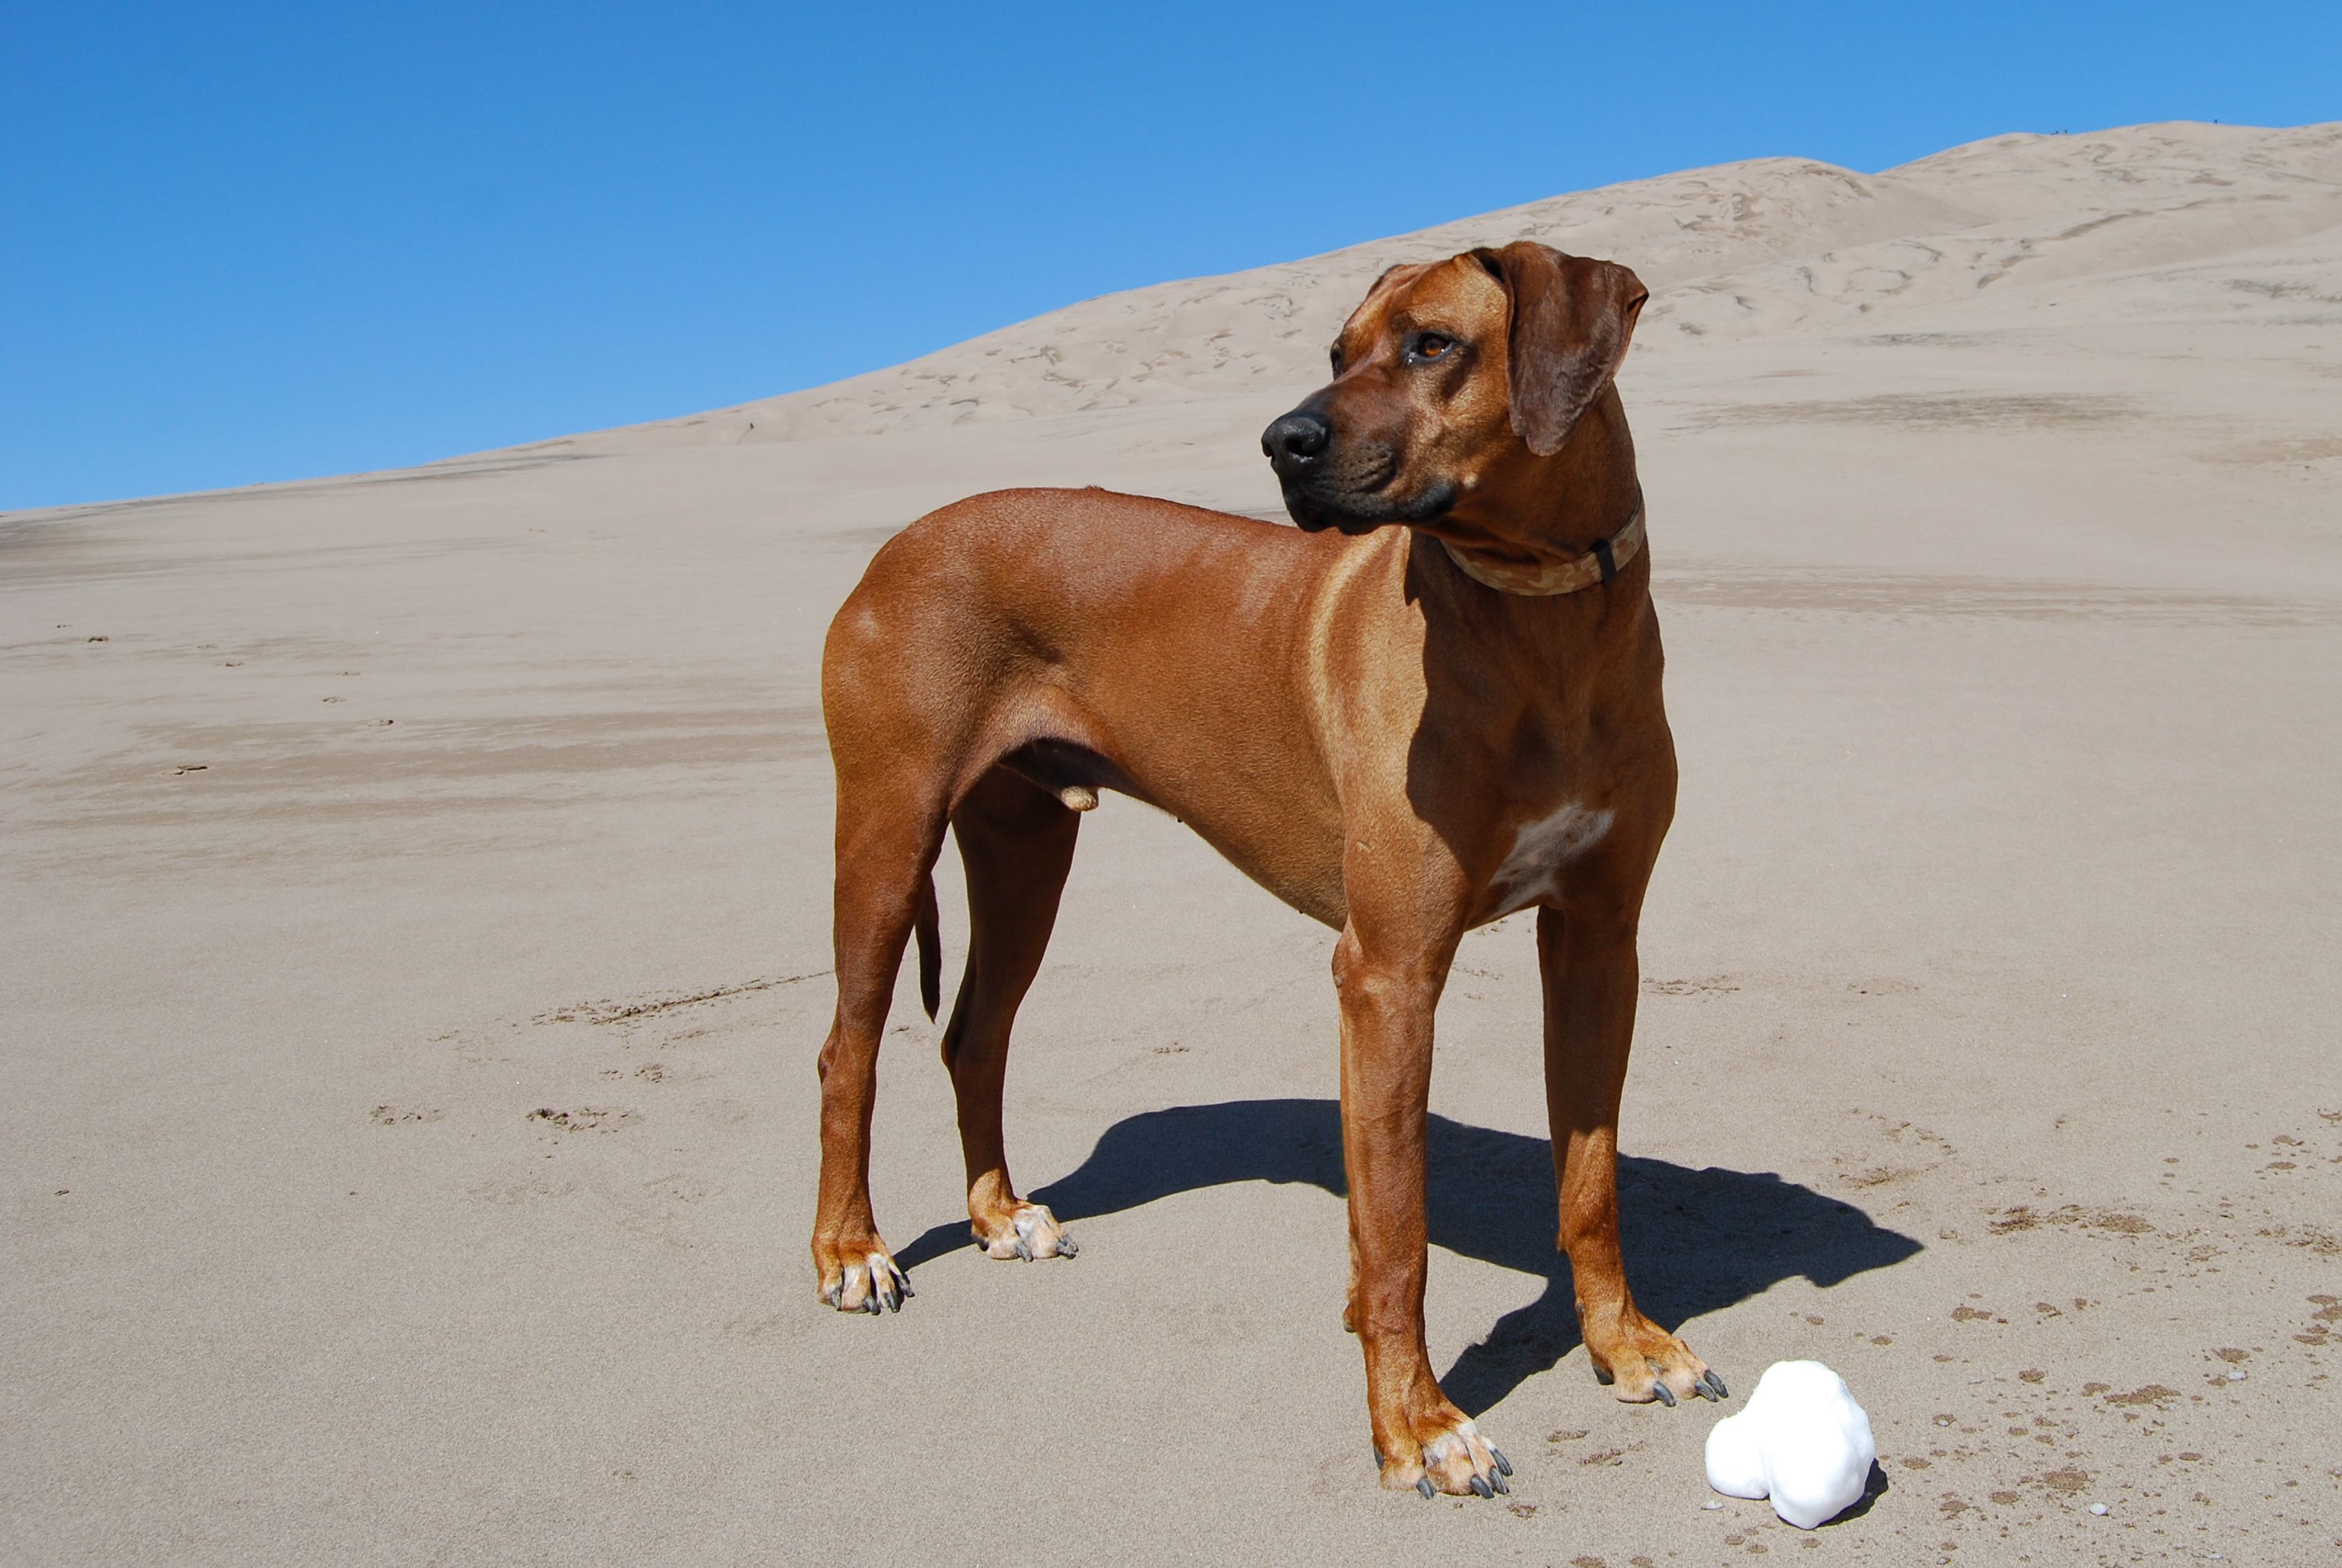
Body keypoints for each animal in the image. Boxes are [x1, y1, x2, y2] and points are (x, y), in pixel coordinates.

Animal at [810, 242, 1723, 1498]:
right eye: (1337, 351)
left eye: (1433, 344)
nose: (1282, 439)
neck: (1539, 619)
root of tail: (899, 542)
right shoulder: (1389, 971)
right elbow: (1396, 1231)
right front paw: (1418, 1426)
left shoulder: (1599, 940)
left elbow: (1591, 1179)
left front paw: (1622, 1340)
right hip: (889, 831)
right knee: (847, 1050)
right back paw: (851, 1249)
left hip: (1026, 846)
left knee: (974, 1033)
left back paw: (997, 1214)